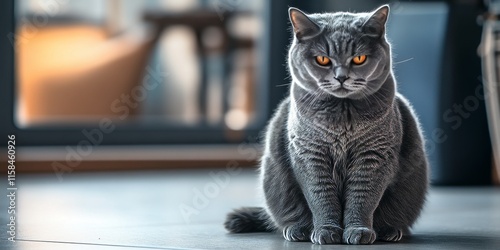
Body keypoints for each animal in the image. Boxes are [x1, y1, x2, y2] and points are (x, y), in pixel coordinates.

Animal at [225, 4, 428, 245]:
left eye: (359, 58)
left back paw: (390, 231)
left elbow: (362, 197)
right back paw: (297, 230)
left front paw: (358, 231)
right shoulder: (310, 155)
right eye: (323, 59)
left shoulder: (373, 156)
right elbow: (320, 197)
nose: (341, 77)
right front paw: (326, 231)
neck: (342, 117)